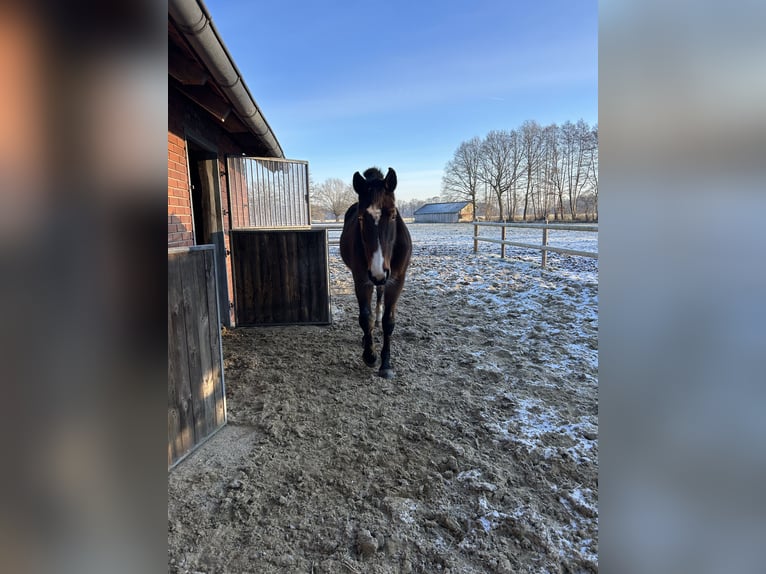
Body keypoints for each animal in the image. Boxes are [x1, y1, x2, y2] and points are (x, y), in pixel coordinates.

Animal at [339, 167, 412, 378]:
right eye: (361, 218)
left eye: (393, 215)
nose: (379, 272)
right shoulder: (361, 280)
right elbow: (365, 318)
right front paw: (370, 355)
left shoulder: (396, 281)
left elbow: (389, 321)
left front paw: (386, 364)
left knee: (379, 296)